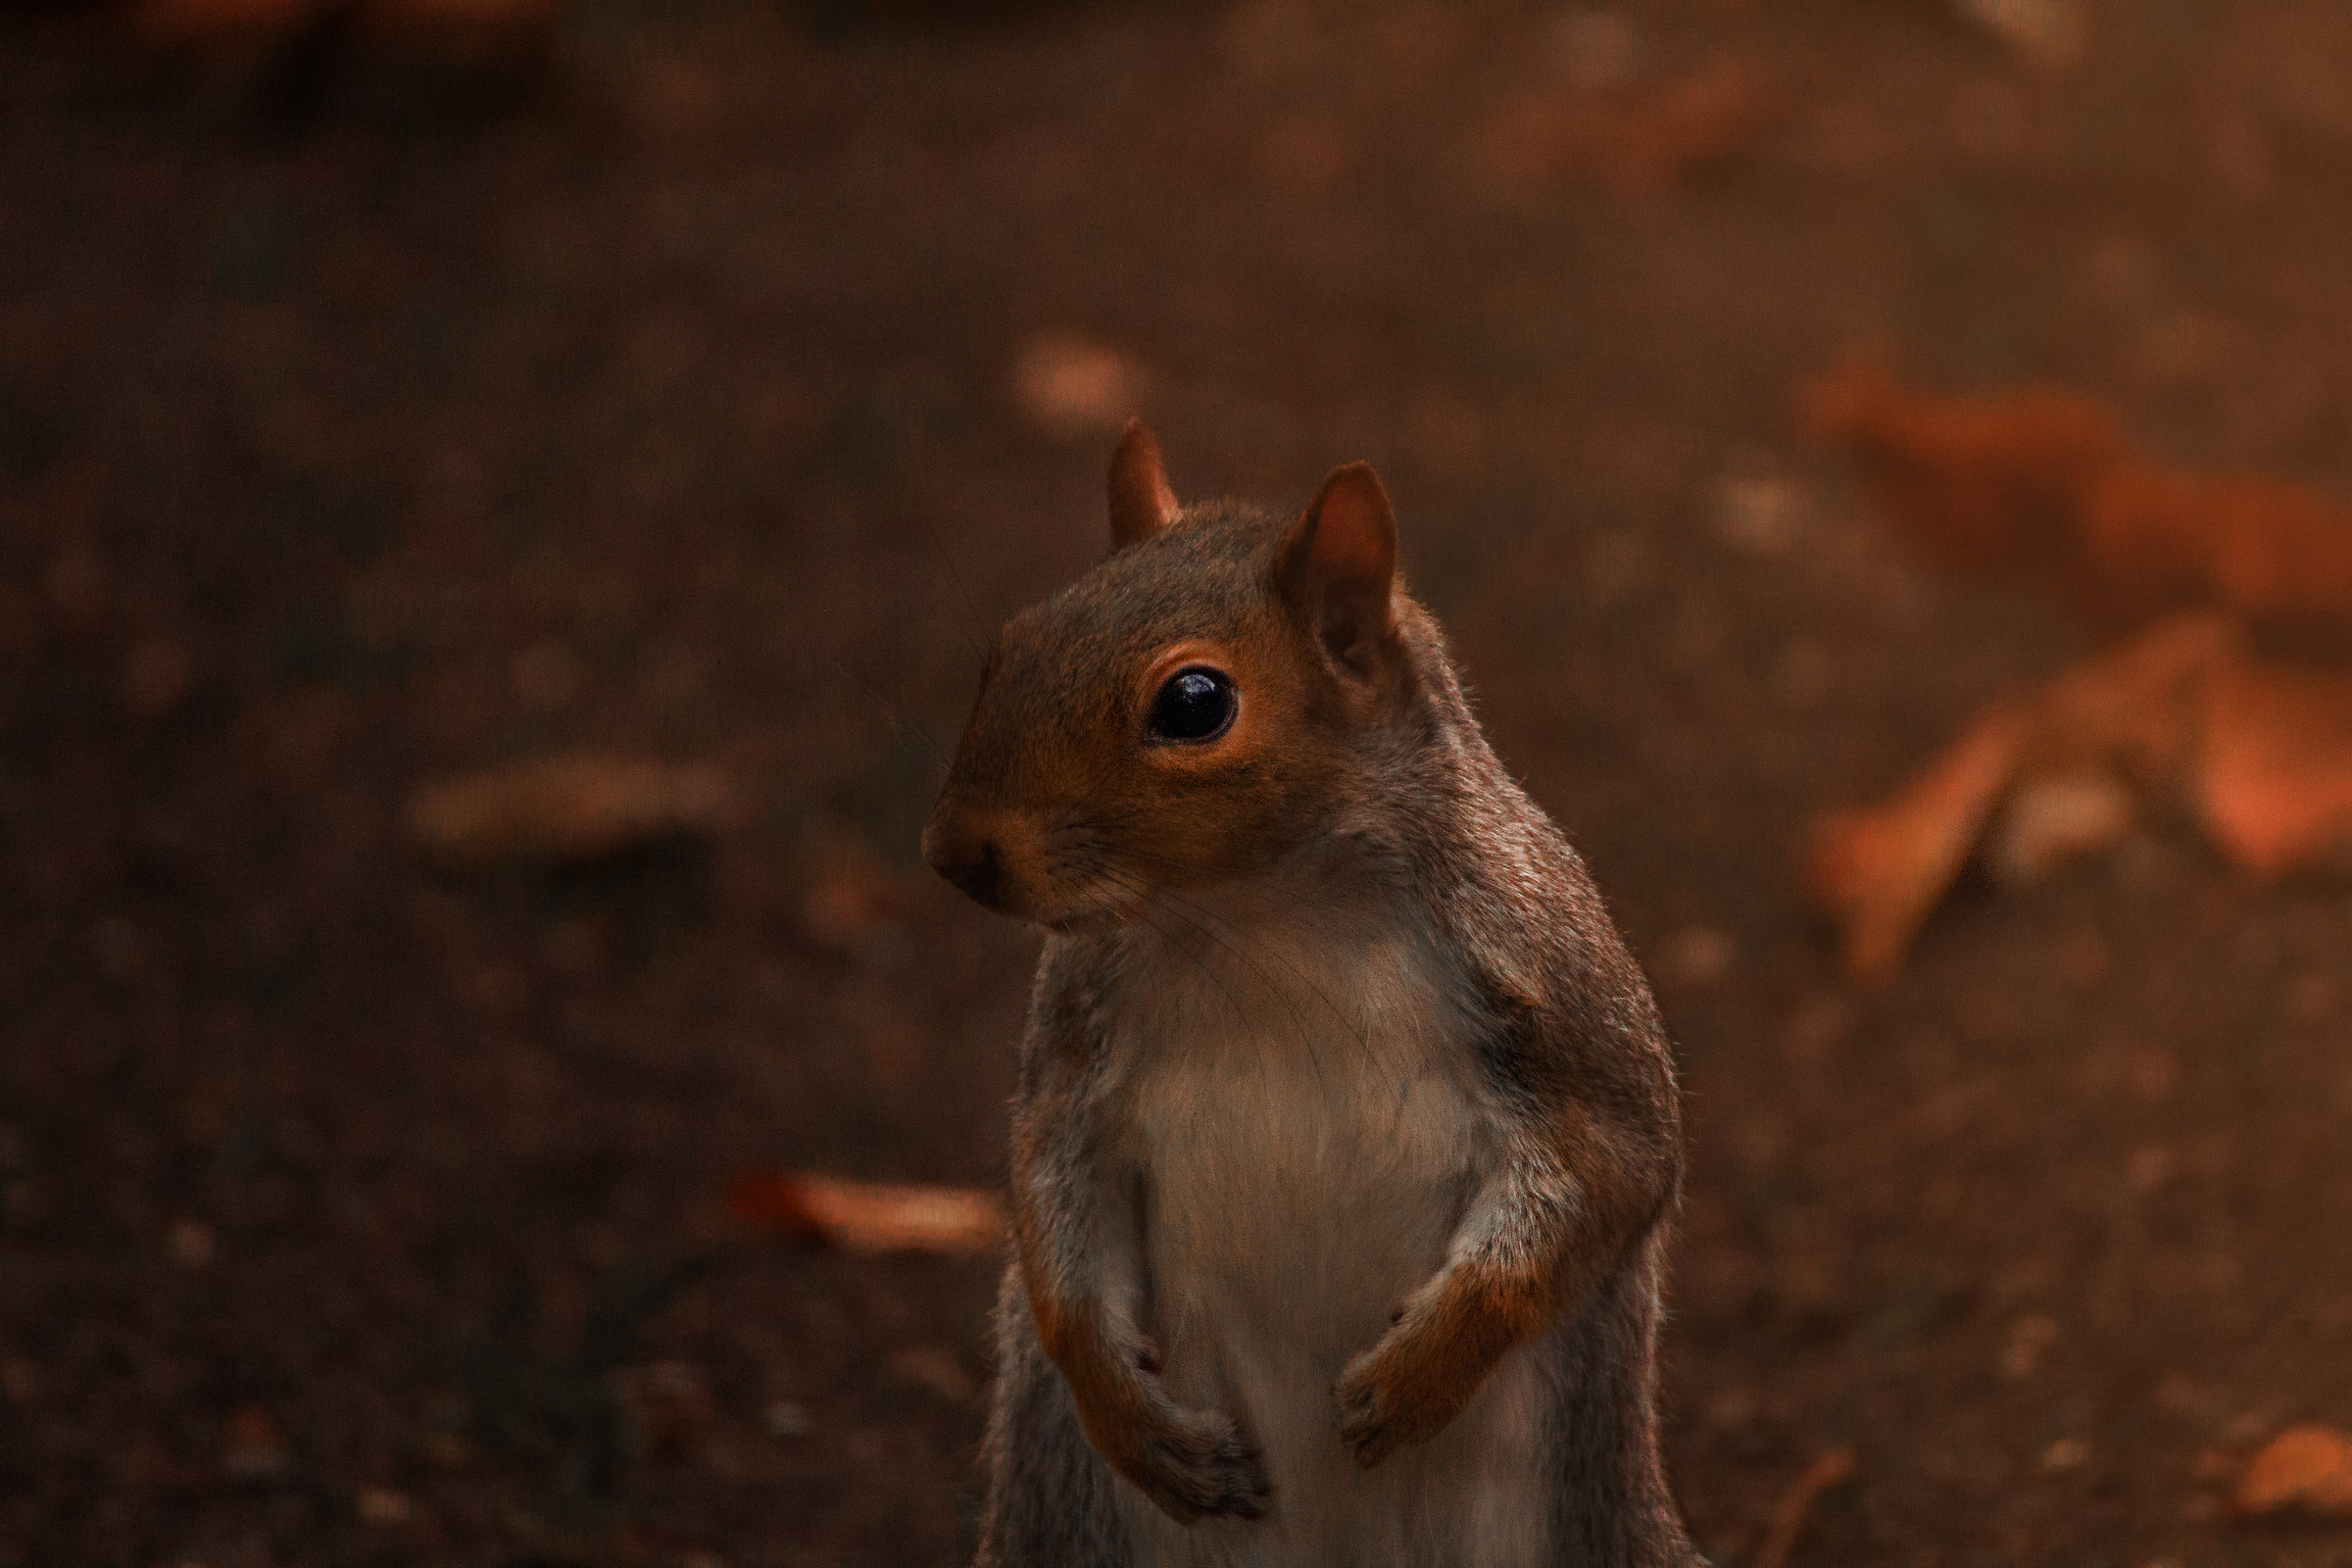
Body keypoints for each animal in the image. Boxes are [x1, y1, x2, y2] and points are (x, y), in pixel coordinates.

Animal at [923, 422, 1697, 1567]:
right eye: (1013, 643)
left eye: (1194, 703)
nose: (955, 850)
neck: (1261, 924)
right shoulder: (1074, 1055)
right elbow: (1052, 1210)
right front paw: (1132, 1420)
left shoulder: (1560, 1002)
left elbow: (1615, 1170)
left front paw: (1417, 1373)